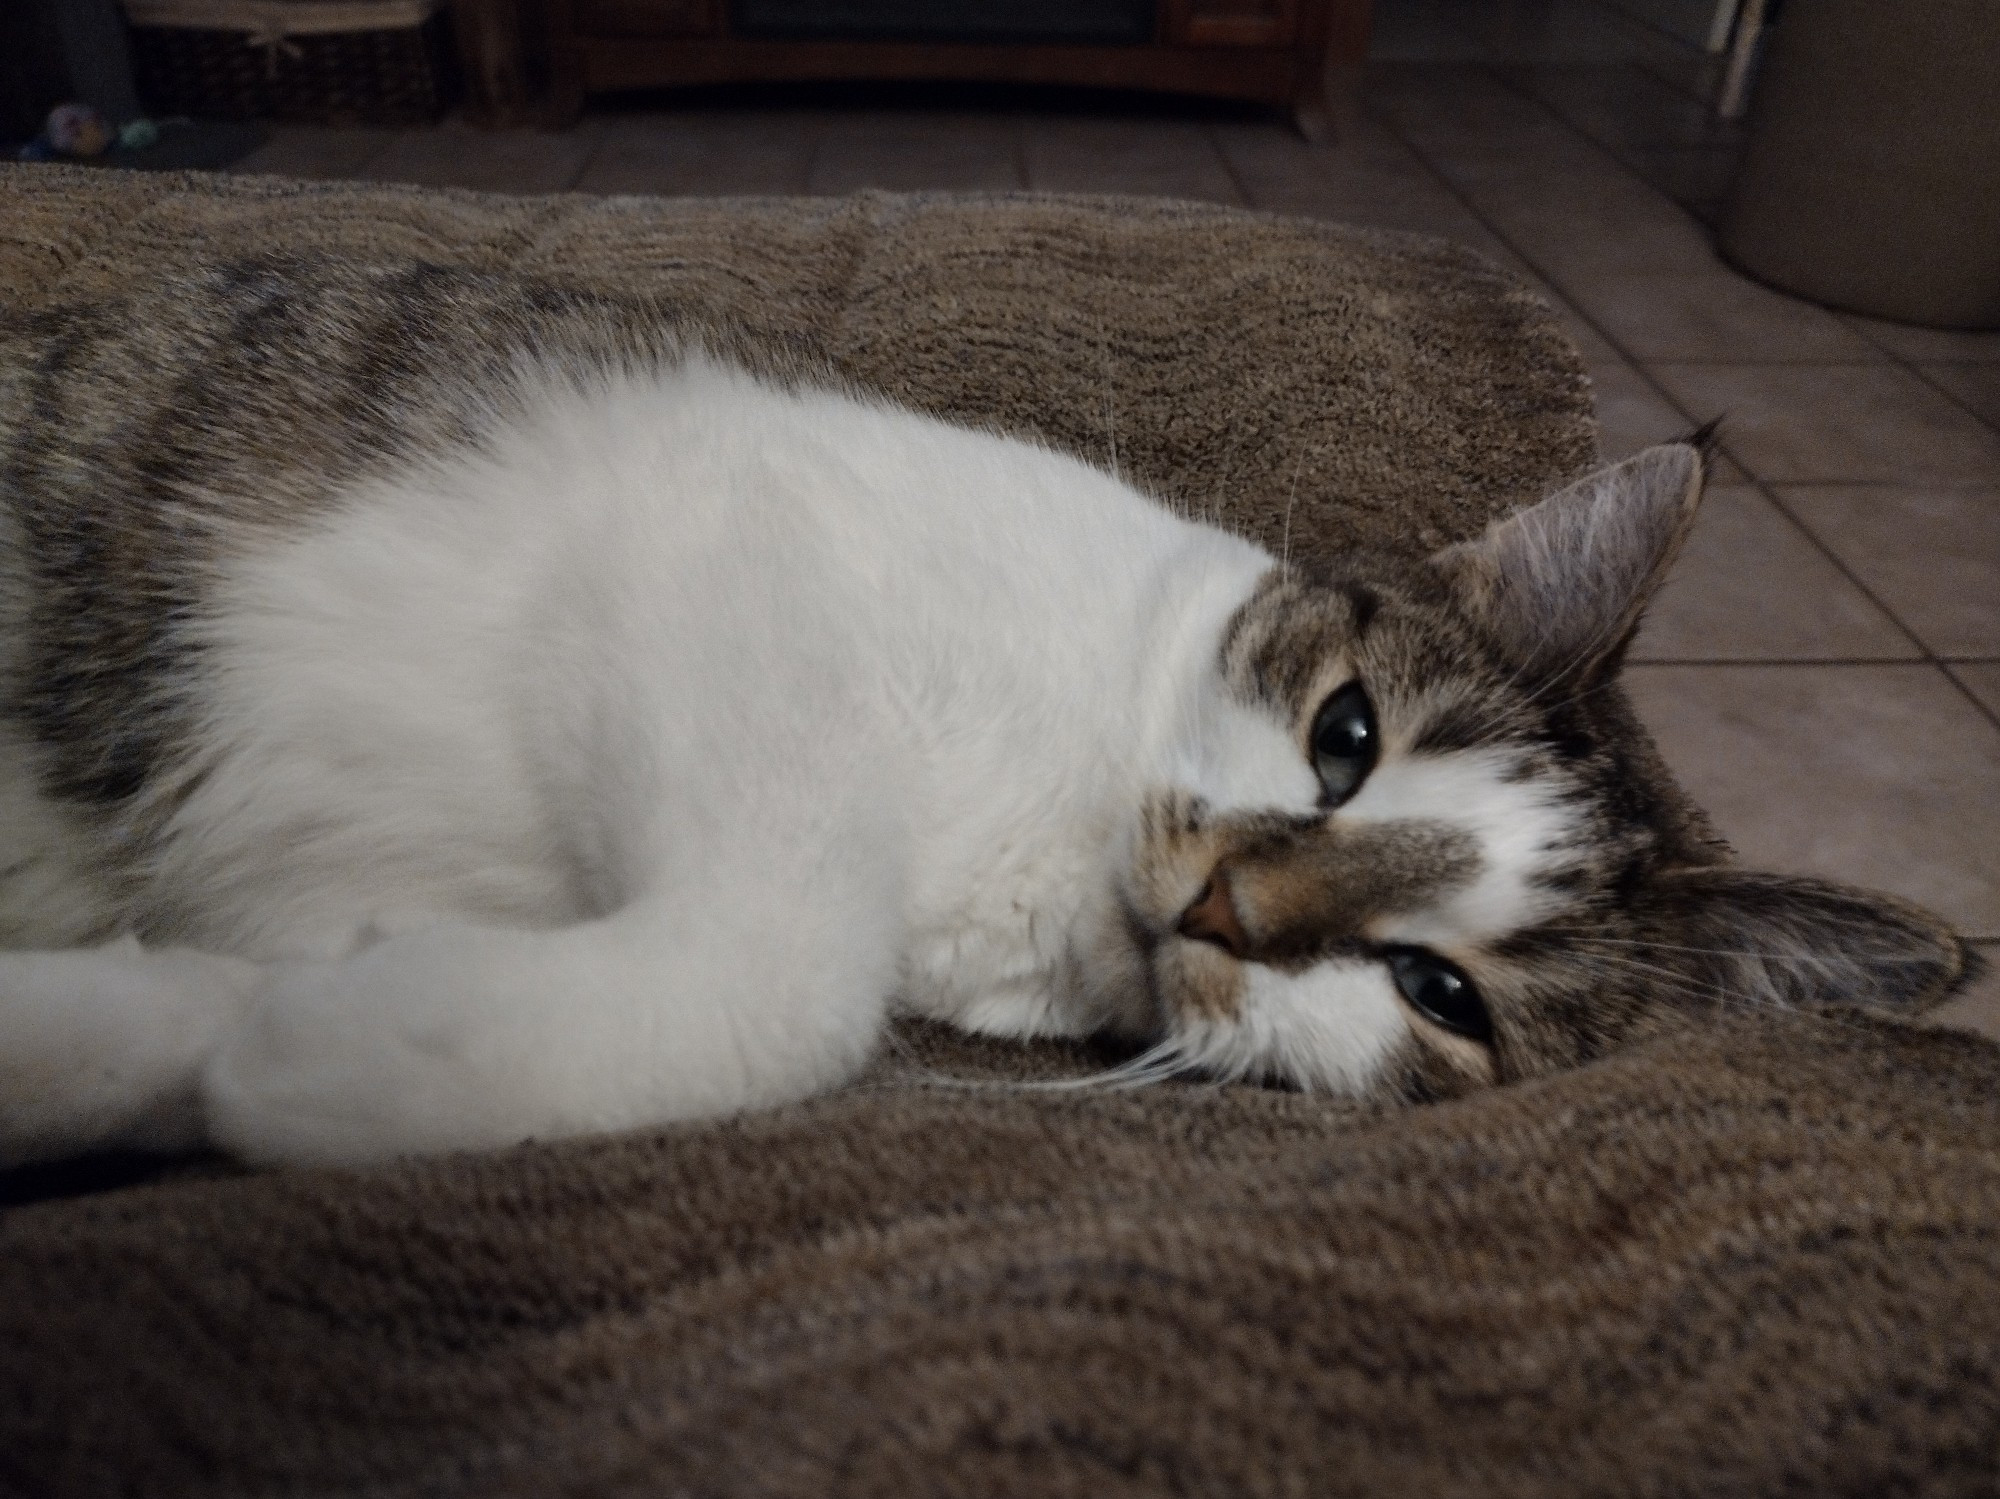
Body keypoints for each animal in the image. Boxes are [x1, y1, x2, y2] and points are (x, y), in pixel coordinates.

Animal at [0, 257, 1968, 1175]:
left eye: (1442, 991)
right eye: (1344, 737)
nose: (1229, 903)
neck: (1048, 829)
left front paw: (263, 1029)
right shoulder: (709, 532)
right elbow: (792, 976)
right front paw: (331, 1051)